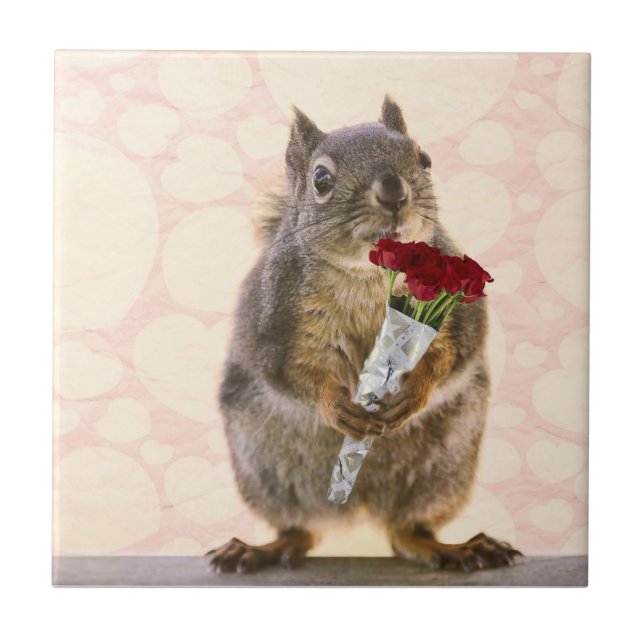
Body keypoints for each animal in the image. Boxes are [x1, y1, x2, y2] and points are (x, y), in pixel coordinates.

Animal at [207, 96, 522, 574]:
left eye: (424, 159)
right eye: (321, 179)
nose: (394, 192)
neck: (369, 272)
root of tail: (359, 504)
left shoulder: (454, 312)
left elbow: (451, 355)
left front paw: (415, 389)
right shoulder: (275, 317)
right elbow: (292, 372)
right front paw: (335, 406)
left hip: (447, 462)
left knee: (408, 530)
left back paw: (451, 548)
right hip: (264, 467)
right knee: (300, 528)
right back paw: (266, 548)